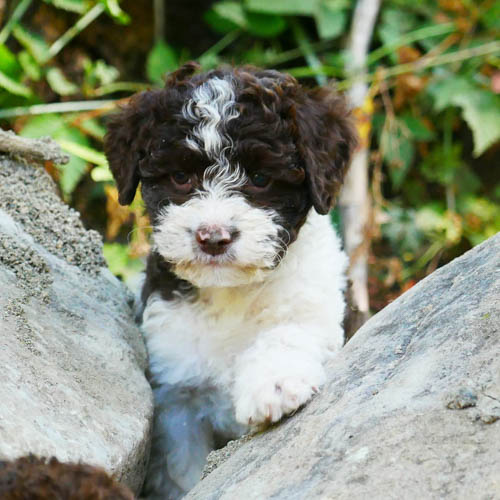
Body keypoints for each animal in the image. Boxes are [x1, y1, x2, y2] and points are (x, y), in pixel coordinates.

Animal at [103, 63, 358, 500]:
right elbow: (183, 470)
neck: (230, 293)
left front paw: (274, 385)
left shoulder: (314, 303)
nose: (213, 237)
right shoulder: (177, 398)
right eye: (180, 176)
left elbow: (288, 331)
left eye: (259, 177)